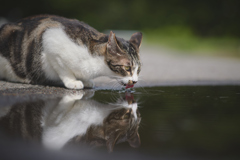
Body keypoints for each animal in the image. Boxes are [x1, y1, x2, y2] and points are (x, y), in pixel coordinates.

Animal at [0, 14, 142, 89]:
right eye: (127, 68)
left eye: (138, 70)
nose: (135, 81)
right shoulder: (50, 39)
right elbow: (63, 69)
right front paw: (72, 81)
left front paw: (85, 80)